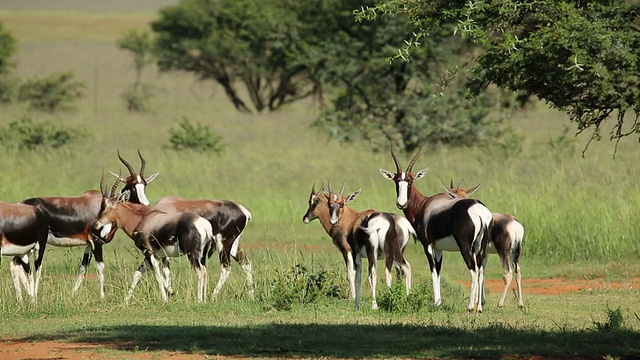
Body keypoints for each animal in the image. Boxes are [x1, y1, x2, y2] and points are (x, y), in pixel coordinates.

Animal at [324, 181, 416, 310]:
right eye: (329, 204)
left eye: (342, 204)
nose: (333, 222)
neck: (355, 220)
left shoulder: (355, 254)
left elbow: (357, 276)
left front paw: (356, 305)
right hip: (393, 252)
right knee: (402, 268)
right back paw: (404, 298)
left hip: (373, 251)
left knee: (376, 273)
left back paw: (376, 304)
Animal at [378, 146, 492, 312]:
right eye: (396, 181)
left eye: (410, 181)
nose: (401, 203)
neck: (425, 205)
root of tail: (478, 210)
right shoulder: (439, 249)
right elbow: (438, 271)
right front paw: (439, 302)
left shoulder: (428, 245)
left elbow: (433, 271)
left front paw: (436, 303)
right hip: (480, 247)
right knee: (481, 270)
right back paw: (479, 308)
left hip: (466, 247)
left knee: (474, 270)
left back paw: (470, 308)